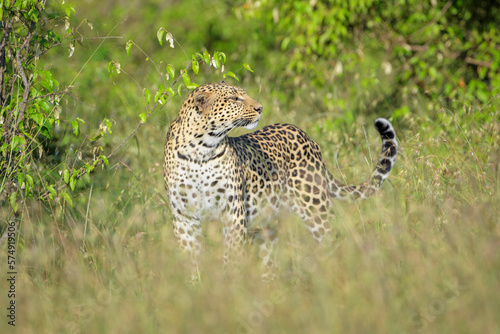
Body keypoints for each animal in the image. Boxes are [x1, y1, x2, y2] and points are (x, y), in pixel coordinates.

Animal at [164, 81, 398, 272]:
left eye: (243, 94)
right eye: (234, 98)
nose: (260, 108)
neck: (200, 150)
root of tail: (307, 137)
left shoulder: (233, 213)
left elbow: (231, 257)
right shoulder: (184, 217)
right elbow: (190, 259)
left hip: (314, 207)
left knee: (332, 239)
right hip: (265, 225)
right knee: (270, 264)